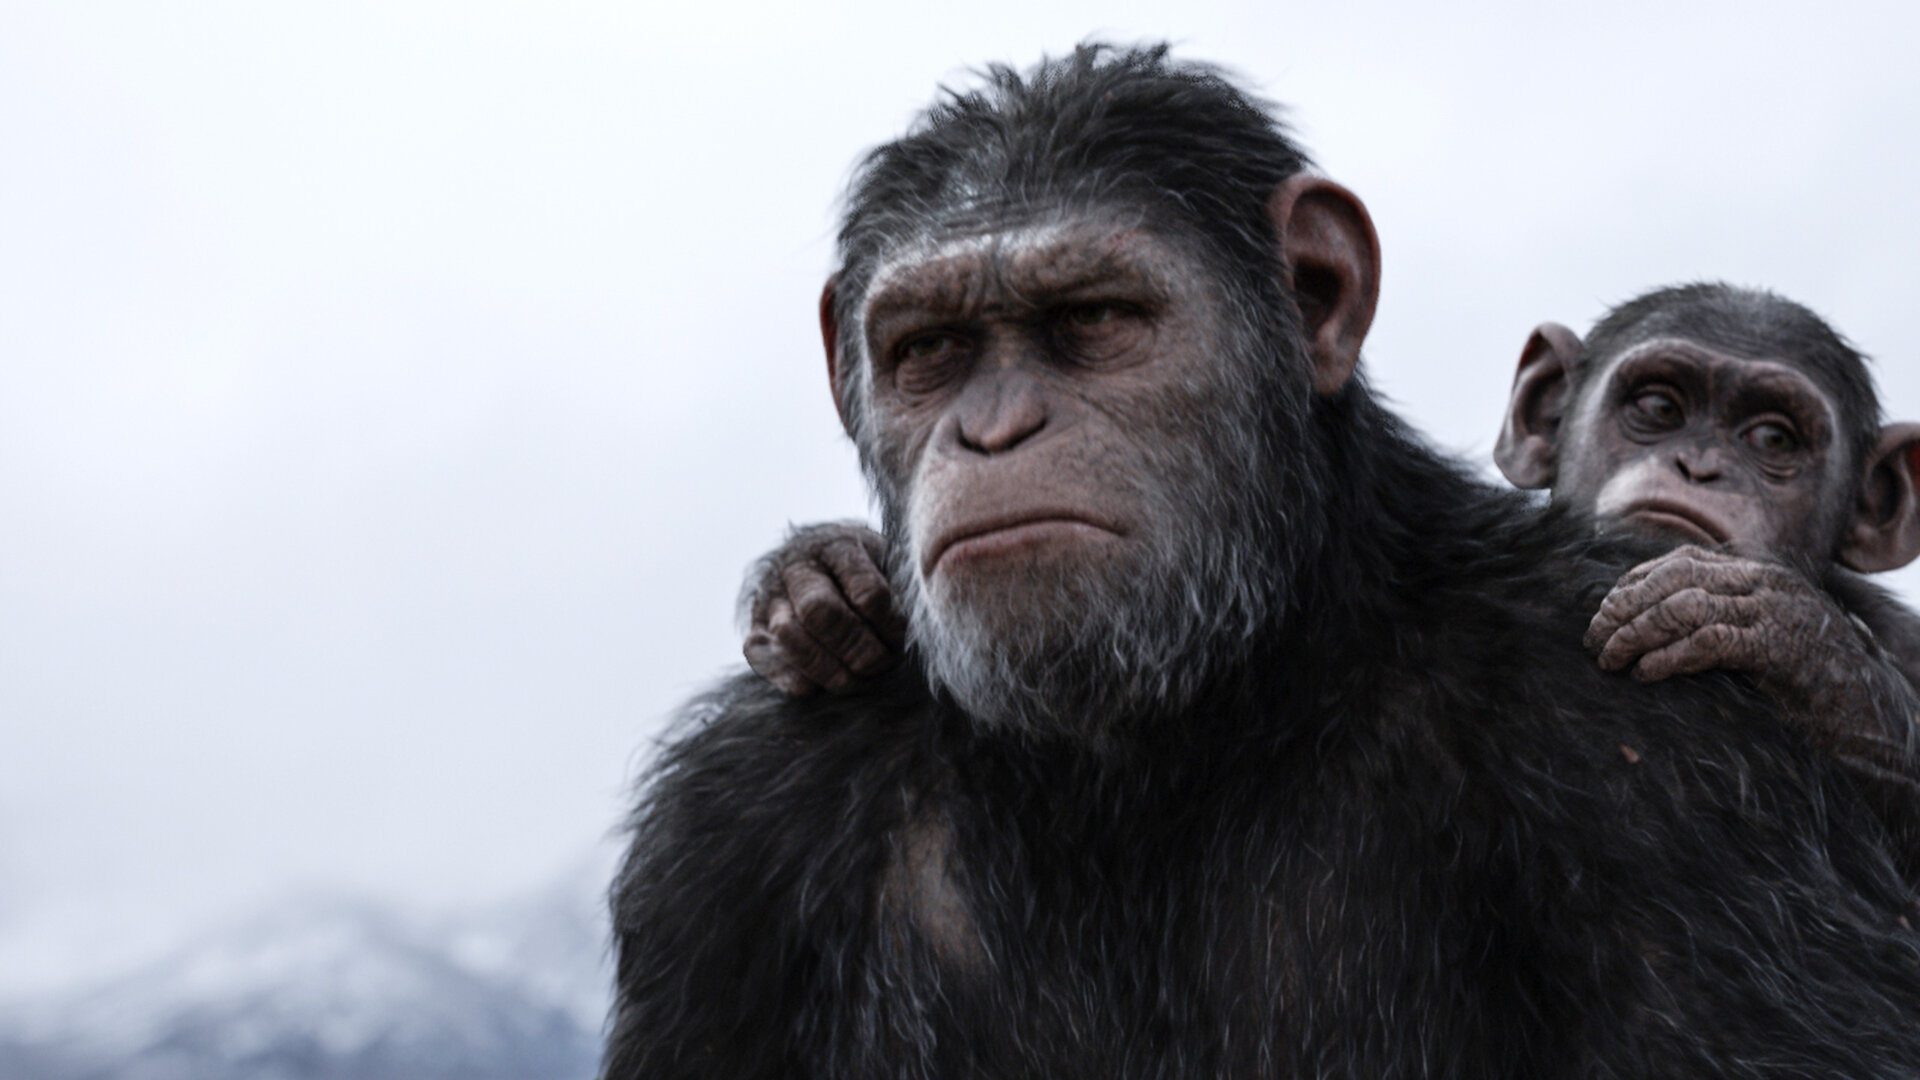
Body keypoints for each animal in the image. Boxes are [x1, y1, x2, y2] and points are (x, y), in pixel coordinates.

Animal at [607, 45, 1920, 1079]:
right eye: (929, 348)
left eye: (1093, 318)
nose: (995, 430)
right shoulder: (717, 842)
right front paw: (815, 590)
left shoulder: (1663, 741)